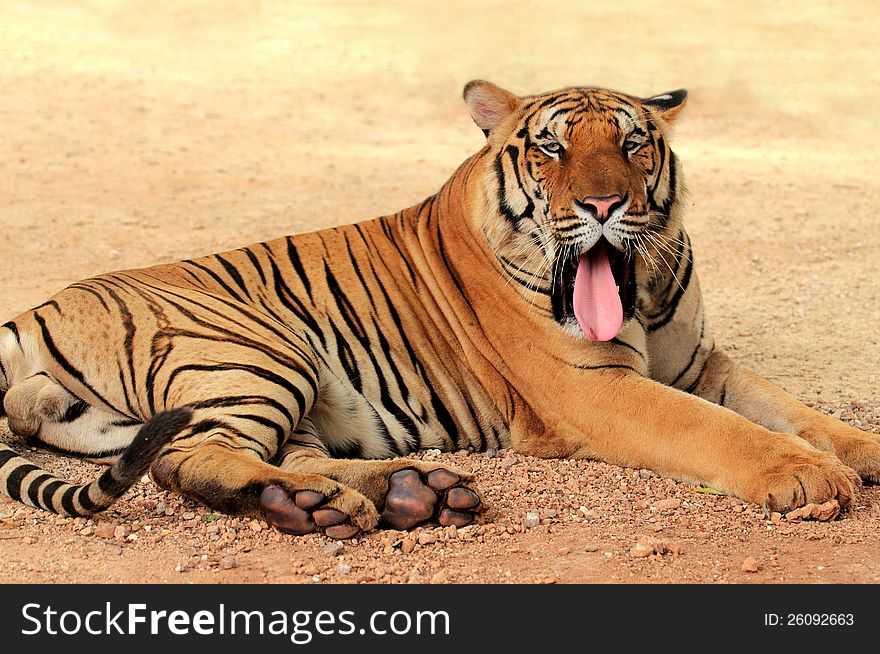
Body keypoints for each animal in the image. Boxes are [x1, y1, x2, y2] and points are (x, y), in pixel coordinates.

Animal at [1, 79, 880, 540]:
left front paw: (857, 451)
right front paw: (806, 478)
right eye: (552, 148)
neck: (641, 288)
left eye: (633, 145)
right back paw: (331, 505)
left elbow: (791, 410)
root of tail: (43, 303)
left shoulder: (699, 364)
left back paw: (407, 493)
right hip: (256, 350)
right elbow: (719, 430)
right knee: (190, 458)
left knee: (284, 455)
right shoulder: (594, 388)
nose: (601, 206)